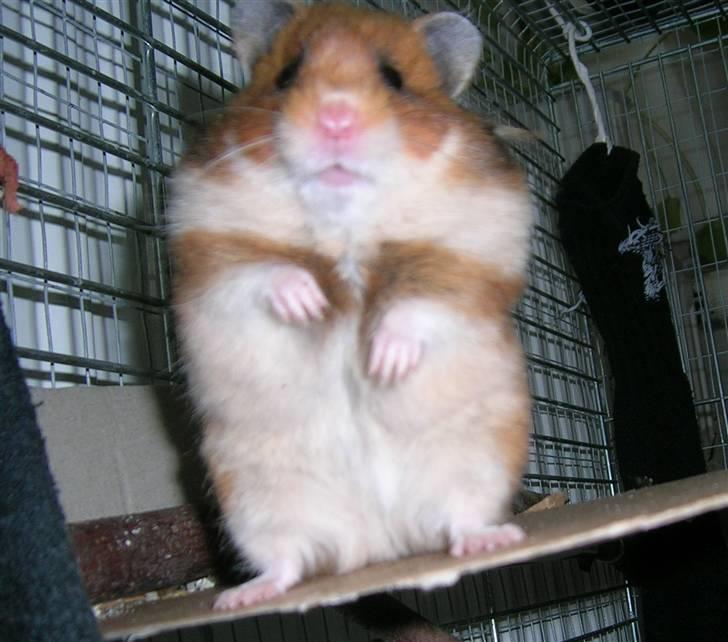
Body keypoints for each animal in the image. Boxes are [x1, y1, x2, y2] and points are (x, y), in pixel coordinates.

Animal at [169, 1, 532, 610]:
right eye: (287, 74)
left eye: (394, 78)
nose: (335, 119)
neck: (343, 225)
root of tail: (379, 546)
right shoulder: (208, 256)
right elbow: (262, 273)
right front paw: (309, 305)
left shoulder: (471, 257)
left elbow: (421, 302)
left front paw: (383, 363)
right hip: (258, 500)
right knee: (287, 557)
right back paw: (240, 597)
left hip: (475, 459)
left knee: (460, 515)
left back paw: (491, 539)